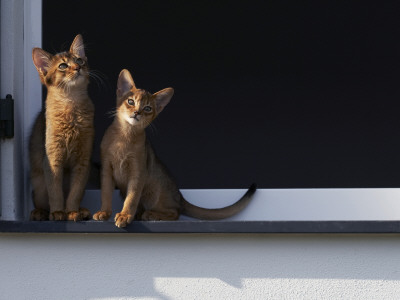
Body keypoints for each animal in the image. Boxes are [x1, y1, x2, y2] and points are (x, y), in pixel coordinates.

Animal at [29, 35, 94, 221]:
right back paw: (40, 212)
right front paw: (58, 211)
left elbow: (75, 193)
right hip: (38, 183)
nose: (78, 67)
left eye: (79, 60)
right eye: (63, 66)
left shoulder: (83, 161)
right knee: (39, 200)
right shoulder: (52, 159)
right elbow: (55, 192)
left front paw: (71, 211)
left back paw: (82, 210)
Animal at [93, 68, 256, 227]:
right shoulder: (106, 169)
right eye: (130, 101)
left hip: (155, 191)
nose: (137, 113)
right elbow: (105, 194)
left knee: (175, 213)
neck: (124, 136)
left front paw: (125, 216)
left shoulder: (138, 172)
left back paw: (150, 215)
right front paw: (104, 212)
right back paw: (140, 214)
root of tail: (180, 196)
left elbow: (131, 198)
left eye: (147, 108)